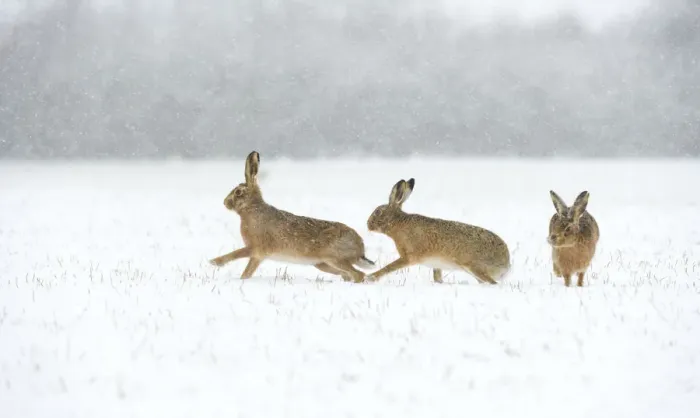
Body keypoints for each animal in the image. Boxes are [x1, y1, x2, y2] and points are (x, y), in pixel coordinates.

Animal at [209, 151, 374, 282]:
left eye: (238, 192)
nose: (225, 203)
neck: (252, 209)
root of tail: (360, 247)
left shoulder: (256, 249)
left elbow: (236, 254)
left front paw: (214, 262)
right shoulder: (257, 256)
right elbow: (247, 272)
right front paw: (240, 279)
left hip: (334, 259)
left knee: (358, 274)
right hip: (322, 264)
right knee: (347, 274)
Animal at [365, 178, 511, 284]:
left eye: (378, 212)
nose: (368, 224)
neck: (397, 224)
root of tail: (507, 263)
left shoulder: (409, 257)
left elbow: (389, 267)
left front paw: (370, 278)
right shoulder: (436, 265)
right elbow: (437, 277)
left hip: (474, 267)